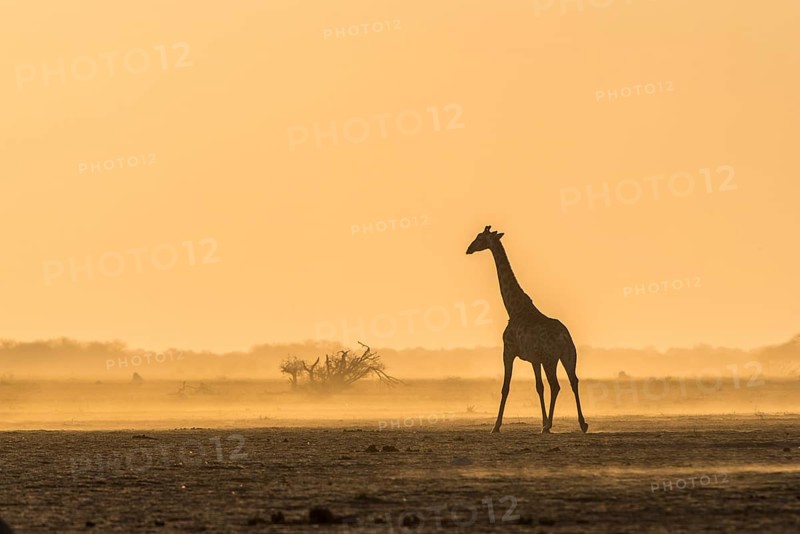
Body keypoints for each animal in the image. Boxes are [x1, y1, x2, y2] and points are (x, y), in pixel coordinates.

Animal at [466, 226, 588, 434]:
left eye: (480, 237)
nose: (469, 249)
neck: (513, 308)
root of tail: (564, 336)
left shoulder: (508, 351)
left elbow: (505, 387)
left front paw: (496, 426)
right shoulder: (534, 359)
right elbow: (539, 387)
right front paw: (542, 421)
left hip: (550, 359)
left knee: (556, 386)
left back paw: (549, 426)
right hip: (568, 356)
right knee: (574, 381)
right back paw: (582, 424)